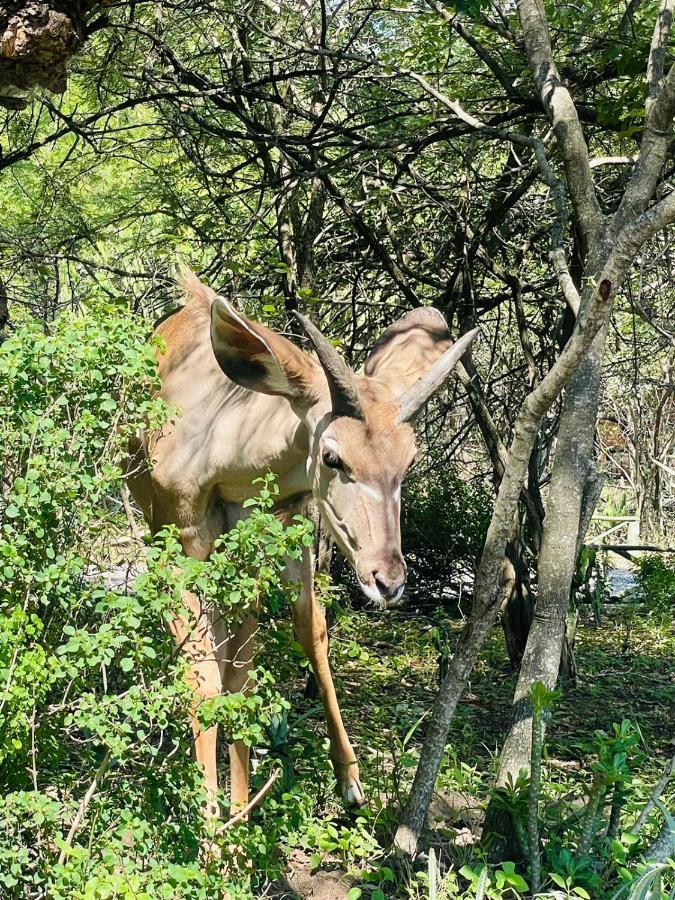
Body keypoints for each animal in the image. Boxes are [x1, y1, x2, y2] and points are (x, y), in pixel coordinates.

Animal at [127, 270, 476, 812]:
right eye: (333, 457)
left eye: (409, 461)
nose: (388, 580)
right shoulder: (181, 538)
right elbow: (204, 674)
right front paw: (211, 821)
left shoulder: (282, 531)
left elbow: (299, 637)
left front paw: (346, 781)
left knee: (245, 656)